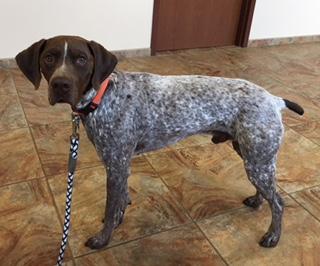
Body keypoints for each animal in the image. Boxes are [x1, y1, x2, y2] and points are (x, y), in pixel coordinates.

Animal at [15, 35, 304, 249]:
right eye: (49, 58)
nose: (60, 85)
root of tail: (274, 99)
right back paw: (257, 201)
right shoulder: (120, 165)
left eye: (81, 60)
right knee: (268, 192)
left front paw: (103, 238)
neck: (103, 96)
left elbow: (111, 206)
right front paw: (118, 219)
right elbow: (120, 201)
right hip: (251, 155)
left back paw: (273, 236)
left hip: (257, 160)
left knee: (279, 202)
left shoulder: (116, 165)